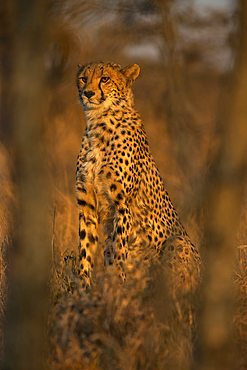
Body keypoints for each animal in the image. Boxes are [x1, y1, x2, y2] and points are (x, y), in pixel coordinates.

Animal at [75, 60, 201, 288]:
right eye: (83, 78)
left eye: (104, 79)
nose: (88, 93)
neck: (99, 123)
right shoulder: (86, 204)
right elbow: (85, 250)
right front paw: (82, 289)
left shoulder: (122, 204)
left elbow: (120, 253)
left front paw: (120, 288)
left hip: (178, 242)